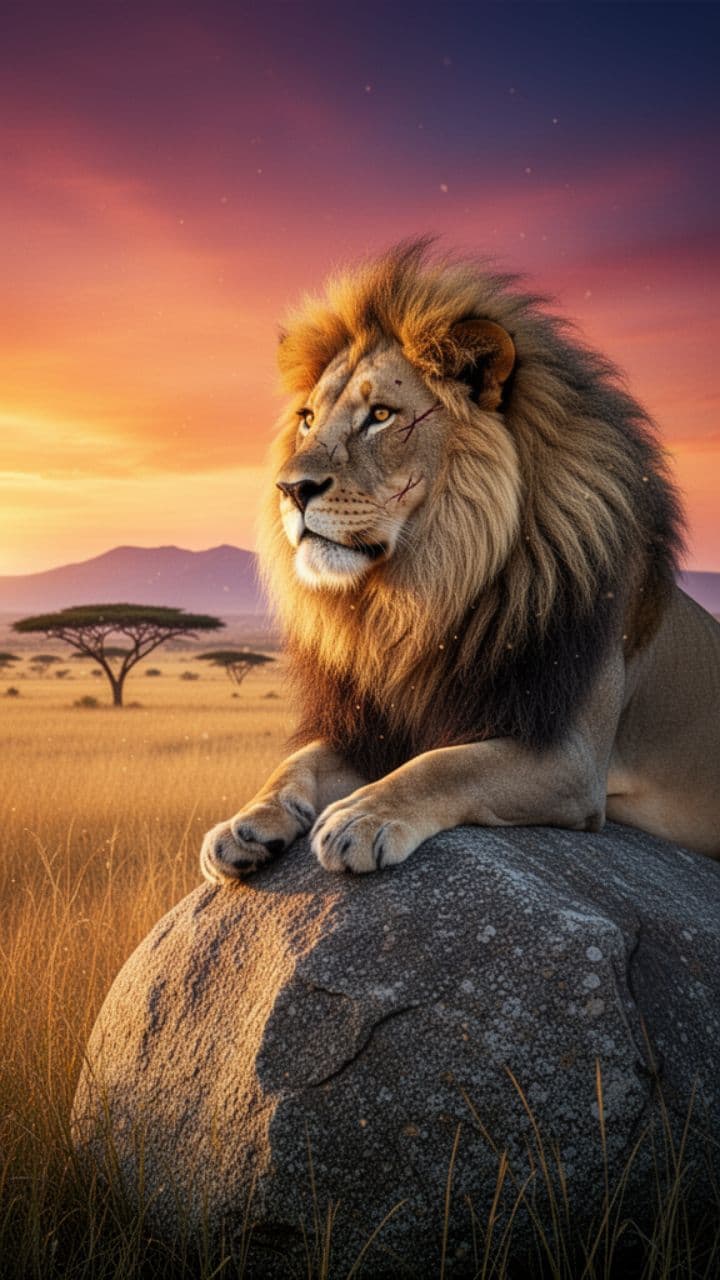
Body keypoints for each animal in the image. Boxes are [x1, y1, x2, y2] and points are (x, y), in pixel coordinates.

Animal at [201, 238, 720, 882]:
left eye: (381, 415)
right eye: (308, 419)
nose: (290, 489)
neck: (430, 596)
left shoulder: (570, 759)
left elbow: (446, 764)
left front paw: (359, 818)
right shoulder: (381, 725)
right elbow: (299, 760)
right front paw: (245, 823)